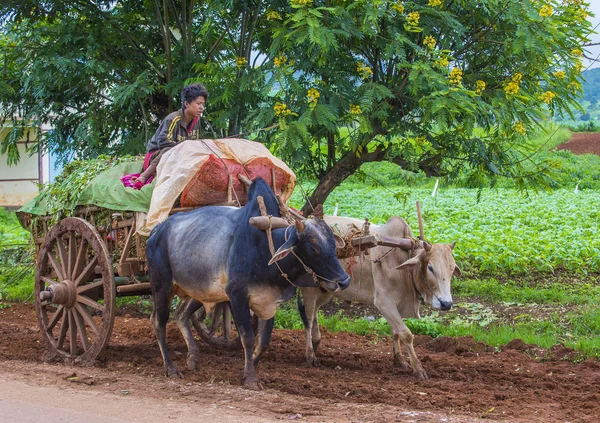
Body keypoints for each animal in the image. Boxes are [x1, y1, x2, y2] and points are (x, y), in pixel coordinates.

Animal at [146, 177, 352, 390]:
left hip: (200, 290)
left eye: (333, 245)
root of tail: (157, 229)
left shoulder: (269, 303)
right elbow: (248, 337)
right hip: (162, 286)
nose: (344, 280)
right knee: (158, 321)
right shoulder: (237, 295)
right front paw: (251, 379)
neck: (265, 249)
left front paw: (246, 370)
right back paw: (170, 368)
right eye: (314, 248)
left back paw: (193, 358)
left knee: (181, 315)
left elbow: (263, 342)